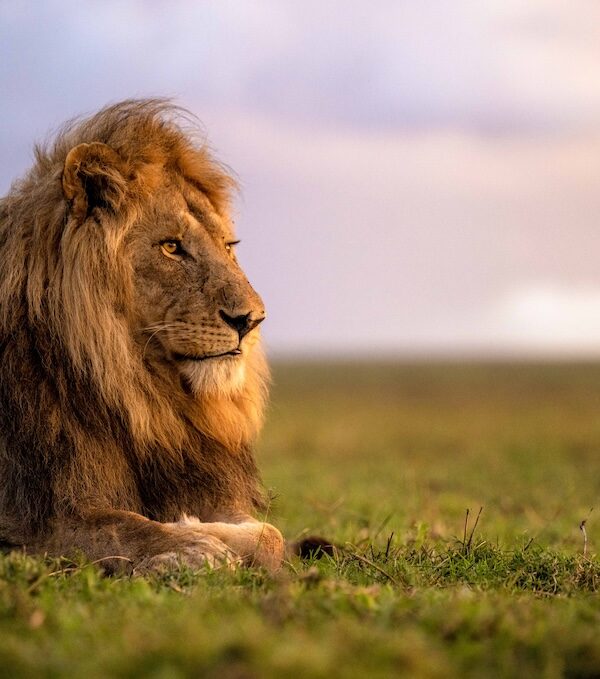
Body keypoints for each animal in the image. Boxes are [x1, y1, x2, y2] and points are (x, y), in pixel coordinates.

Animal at [0, 99, 284, 573]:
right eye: (171, 247)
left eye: (229, 246)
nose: (251, 320)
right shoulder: (38, 519)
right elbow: (124, 528)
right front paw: (193, 546)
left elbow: (271, 536)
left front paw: (197, 527)